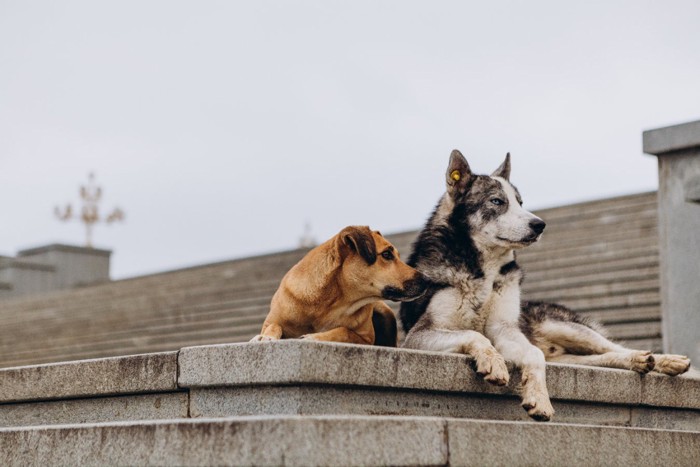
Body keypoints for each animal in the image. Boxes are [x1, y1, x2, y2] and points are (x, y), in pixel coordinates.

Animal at [252, 227, 426, 348]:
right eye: (386, 254)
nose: (427, 280)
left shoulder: (367, 339)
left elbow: (344, 331)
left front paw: (314, 337)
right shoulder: (274, 319)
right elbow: (273, 325)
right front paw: (265, 337)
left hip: (384, 311)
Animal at [402, 151, 692, 424]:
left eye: (520, 202)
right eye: (497, 202)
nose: (539, 224)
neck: (483, 271)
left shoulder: (506, 330)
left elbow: (533, 354)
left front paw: (539, 399)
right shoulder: (417, 336)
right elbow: (475, 335)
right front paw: (494, 362)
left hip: (563, 327)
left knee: (611, 348)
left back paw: (662, 359)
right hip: (566, 354)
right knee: (600, 357)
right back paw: (642, 362)